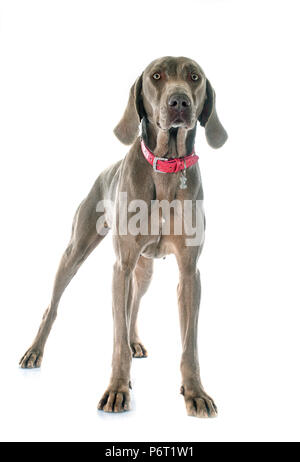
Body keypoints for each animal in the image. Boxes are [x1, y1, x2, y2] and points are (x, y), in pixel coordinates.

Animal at [19, 56, 227, 416]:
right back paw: (35, 350)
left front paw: (195, 392)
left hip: (144, 270)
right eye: (156, 76)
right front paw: (118, 389)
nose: (179, 102)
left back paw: (135, 342)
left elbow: (189, 342)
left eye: (194, 77)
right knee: (54, 305)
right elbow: (115, 336)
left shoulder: (189, 272)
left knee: (134, 306)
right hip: (77, 250)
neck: (166, 168)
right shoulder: (121, 266)